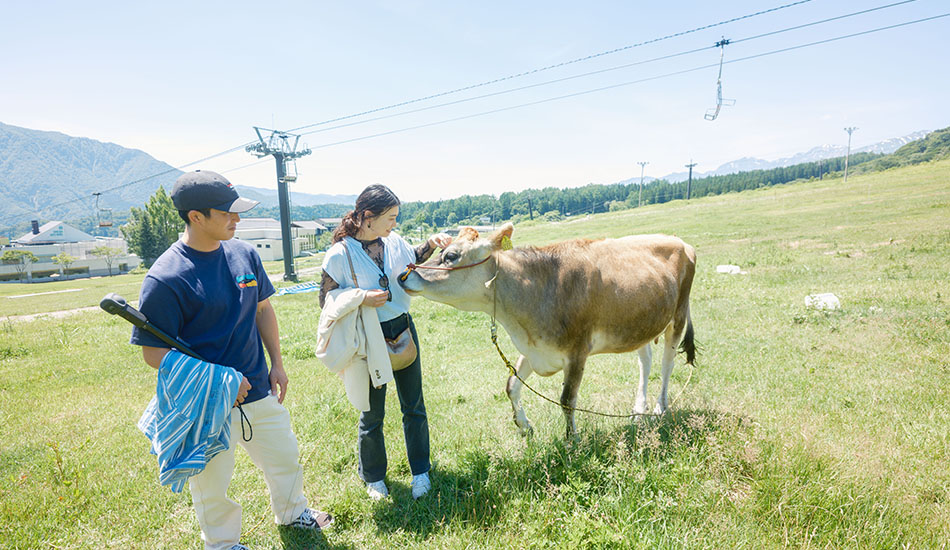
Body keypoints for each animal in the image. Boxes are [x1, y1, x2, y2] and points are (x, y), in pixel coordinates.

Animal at [398, 224, 696, 440]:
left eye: (451, 255)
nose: (403, 276)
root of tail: (679, 240)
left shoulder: (577, 352)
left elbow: (566, 400)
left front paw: (572, 441)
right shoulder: (535, 349)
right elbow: (511, 385)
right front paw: (524, 425)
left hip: (678, 315)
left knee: (667, 364)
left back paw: (659, 408)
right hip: (639, 321)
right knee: (645, 360)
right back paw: (637, 411)